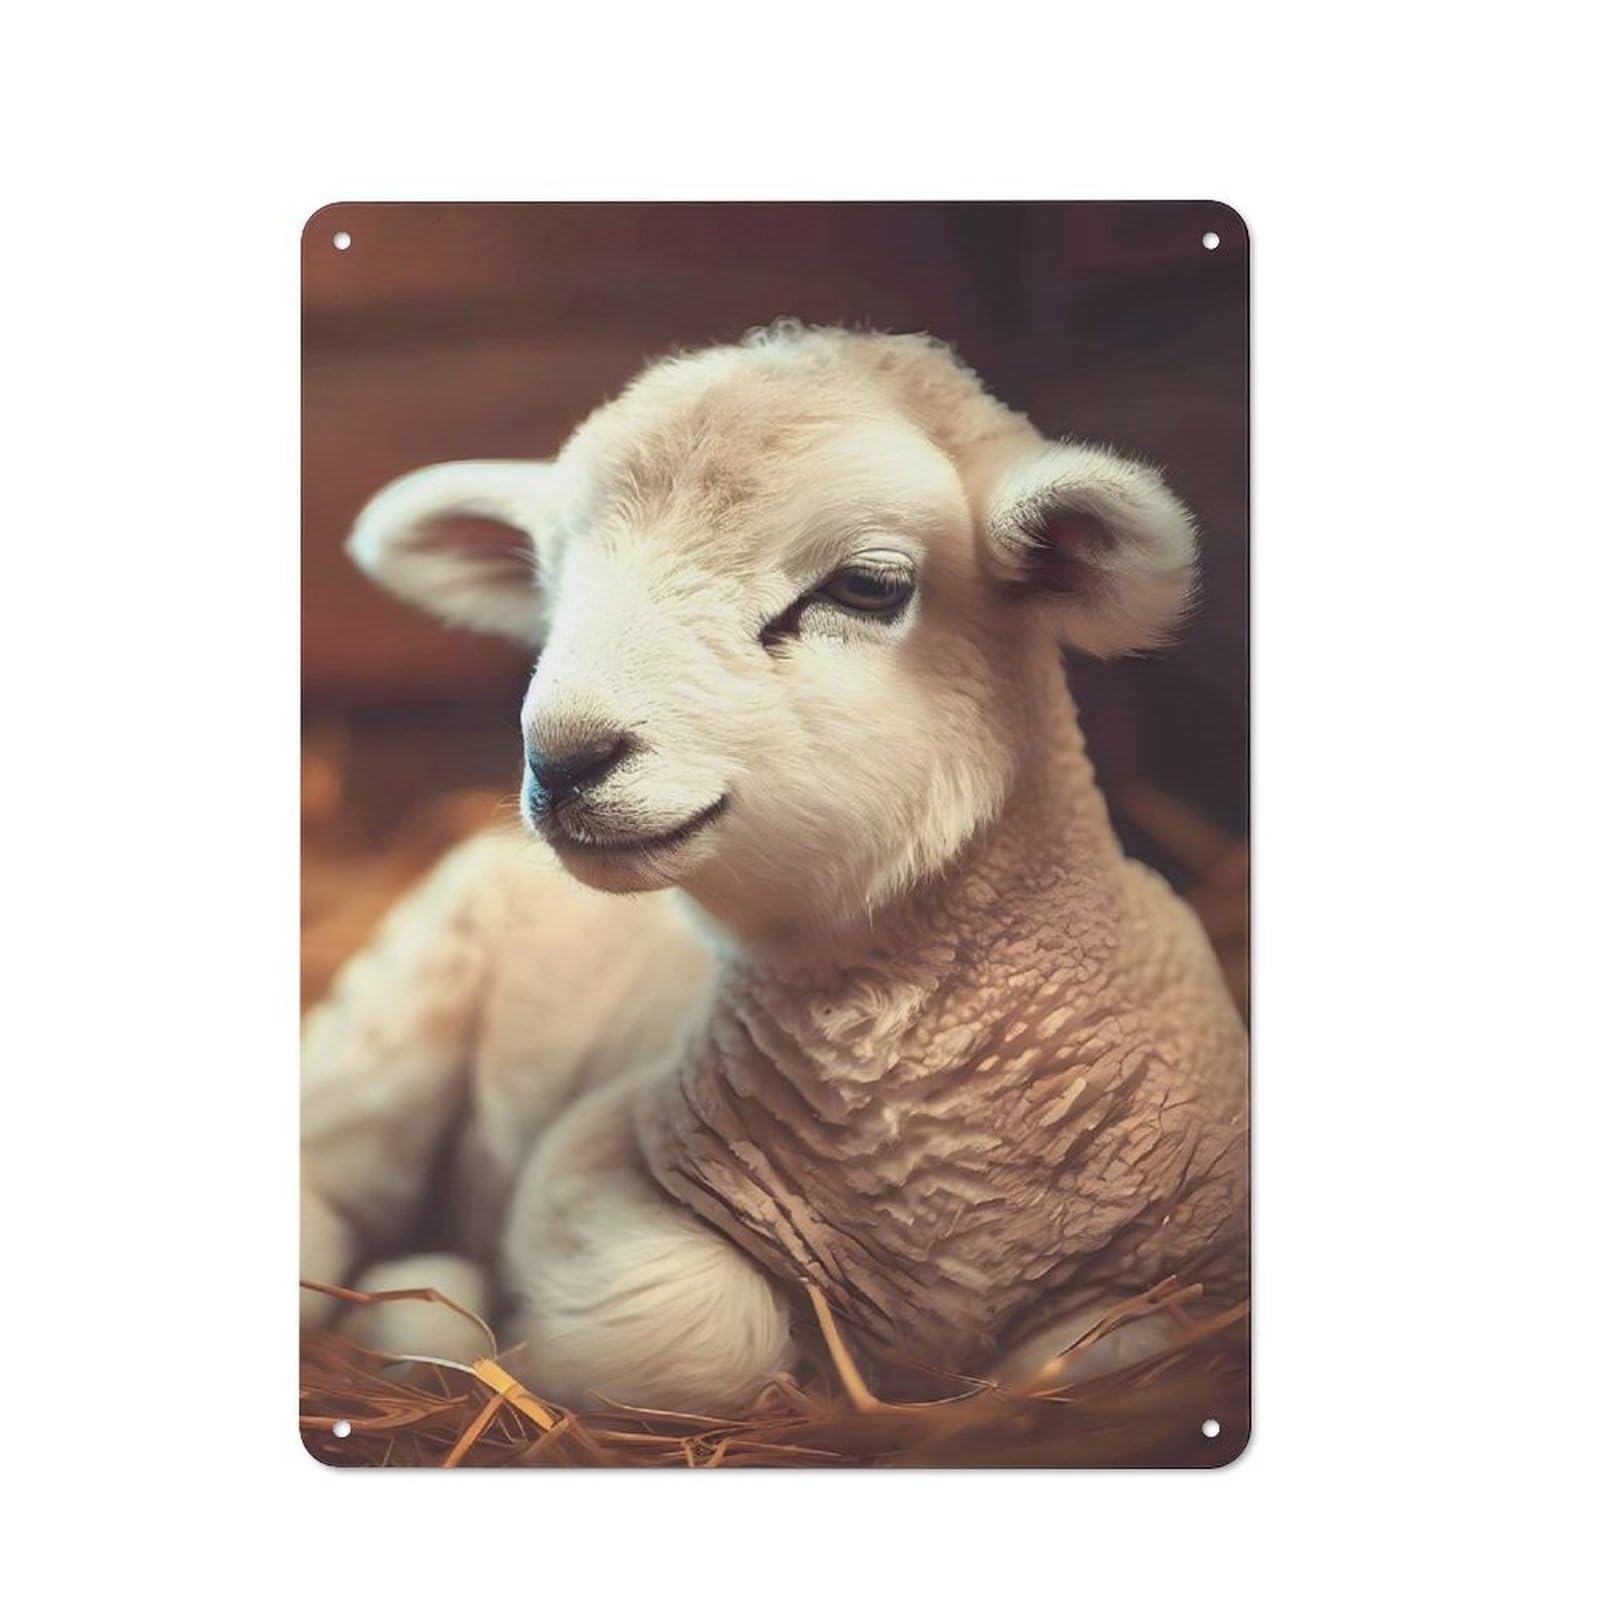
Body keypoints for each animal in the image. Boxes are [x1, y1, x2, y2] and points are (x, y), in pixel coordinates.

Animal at [301, 324, 1248, 1411]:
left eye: (867, 586)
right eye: (550, 584)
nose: (562, 758)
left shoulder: (1167, 1288)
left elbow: (1097, 1361)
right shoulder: (588, 1158)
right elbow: (699, 1330)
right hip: (397, 1010)